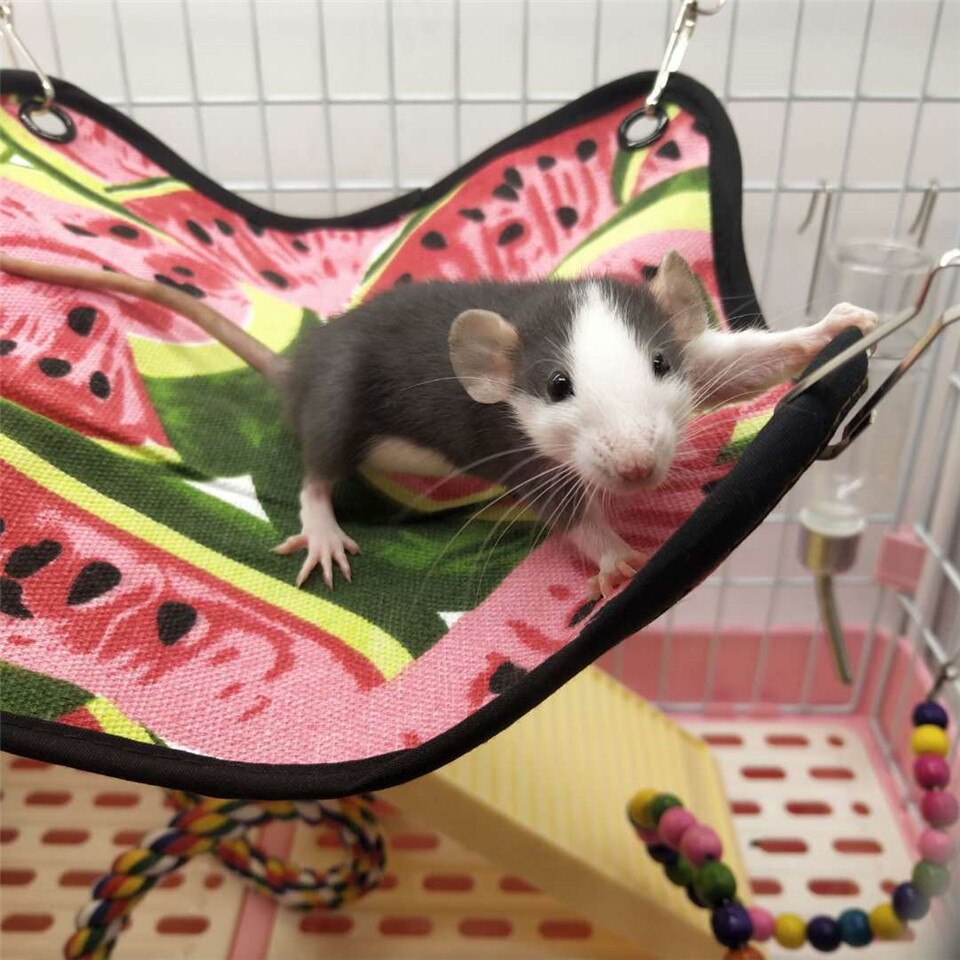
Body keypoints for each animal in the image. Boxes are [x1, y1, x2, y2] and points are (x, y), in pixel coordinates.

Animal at [0, 251, 878, 598]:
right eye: (558, 387)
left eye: (660, 365)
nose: (636, 469)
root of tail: (301, 368)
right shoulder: (519, 449)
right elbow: (563, 510)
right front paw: (613, 552)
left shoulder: (698, 360)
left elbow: (737, 364)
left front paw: (833, 330)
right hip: (338, 402)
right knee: (319, 464)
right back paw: (323, 524)